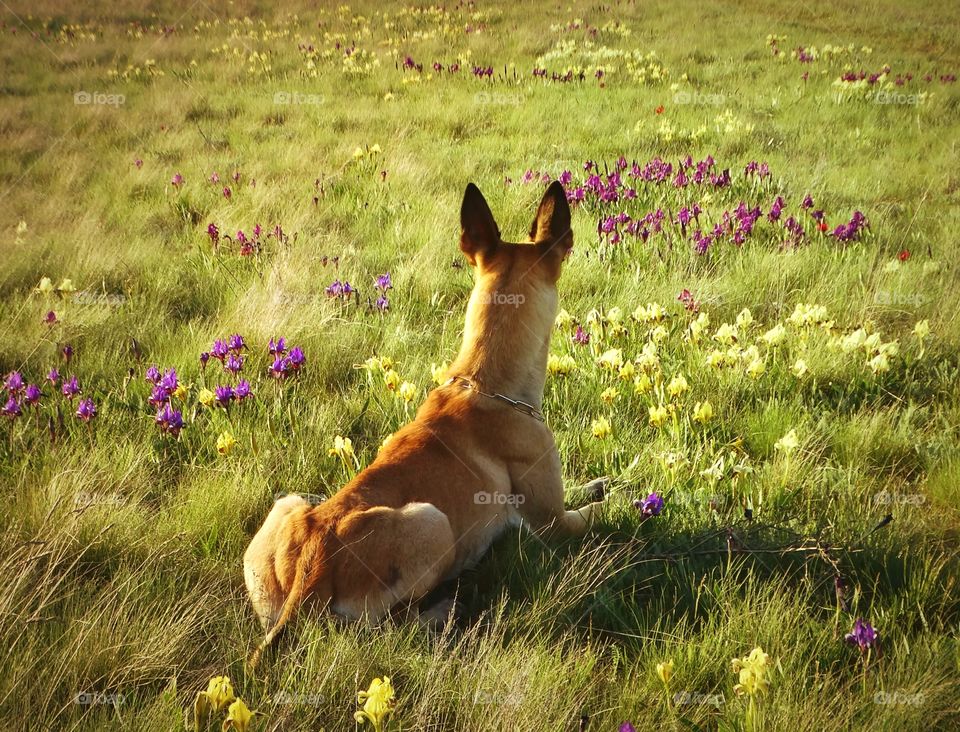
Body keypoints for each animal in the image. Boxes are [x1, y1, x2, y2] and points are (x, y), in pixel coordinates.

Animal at [244, 182, 604, 664]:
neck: (482, 381)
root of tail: (313, 569)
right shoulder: (556, 524)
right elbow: (598, 511)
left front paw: (596, 482)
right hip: (433, 522)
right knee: (387, 630)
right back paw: (442, 609)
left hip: (287, 506)